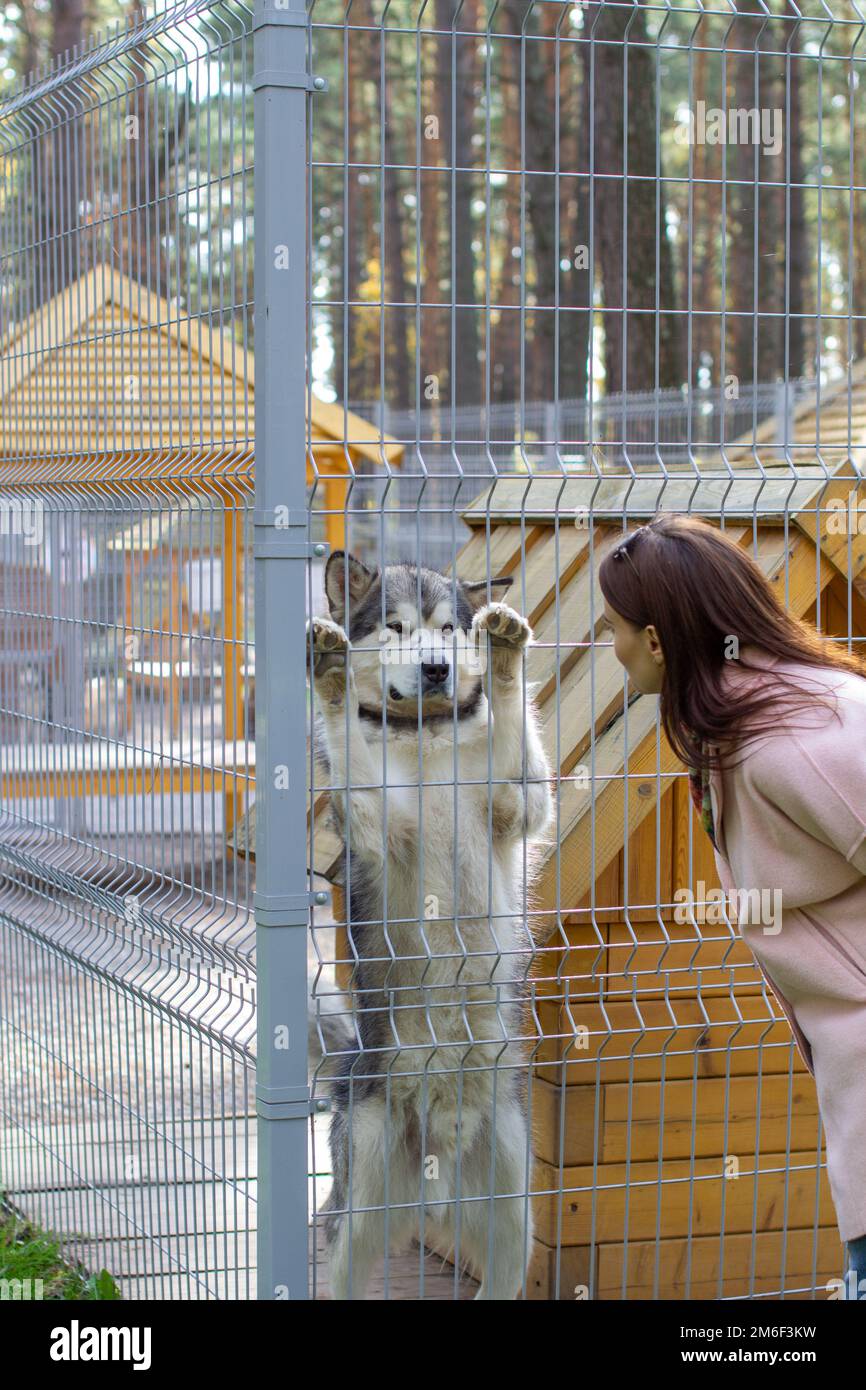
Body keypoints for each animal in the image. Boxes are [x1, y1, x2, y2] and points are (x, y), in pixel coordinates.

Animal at [309, 547, 556, 1295]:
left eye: (450, 628)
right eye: (393, 627)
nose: (439, 668)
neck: (426, 735)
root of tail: (435, 1189)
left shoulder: (517, 805)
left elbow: (515, 733)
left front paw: (505, 653)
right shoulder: (374, 820)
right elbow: (349, 748)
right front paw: (331, 674)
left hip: (514, 1218)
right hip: (357, 1214)